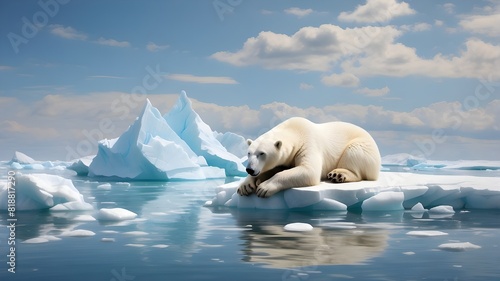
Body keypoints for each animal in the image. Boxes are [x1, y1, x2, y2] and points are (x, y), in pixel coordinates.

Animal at [236, 116, 380, 197]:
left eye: (262, 153)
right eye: (249, 153)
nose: (250, 169)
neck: (295, 130)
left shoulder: (308, 143)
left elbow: (308, 170)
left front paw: (264, 187)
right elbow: (275, 168)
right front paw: (246, 186)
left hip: (363, 147)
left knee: (353, 154)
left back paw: (338, 174)